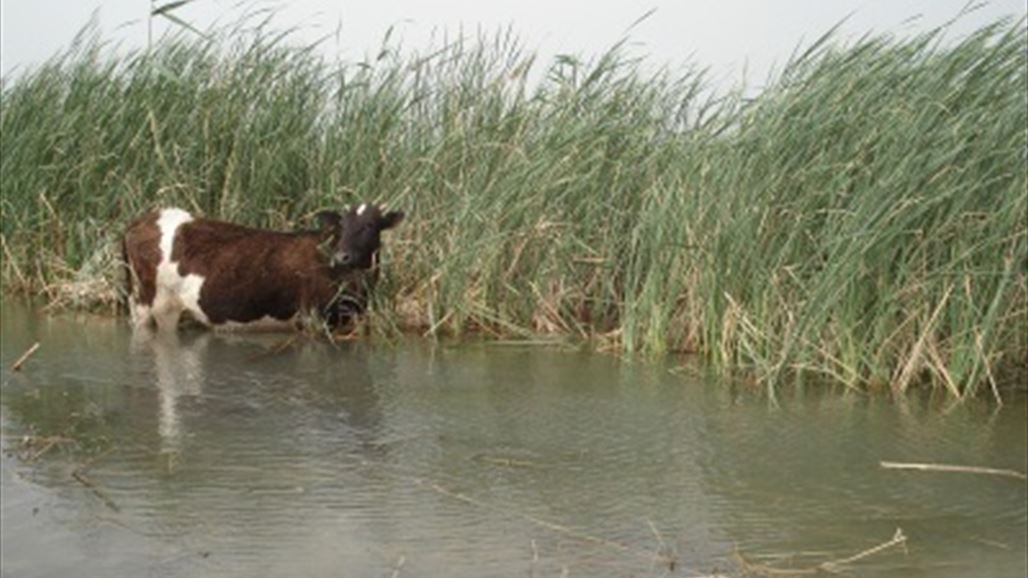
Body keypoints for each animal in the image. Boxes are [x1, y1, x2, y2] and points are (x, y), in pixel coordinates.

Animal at [122, 202, 402, 331]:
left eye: (370, 225)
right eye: (340, 226)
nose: (343, 256)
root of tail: (145, 218)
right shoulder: (312, 317)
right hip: (156, 304)